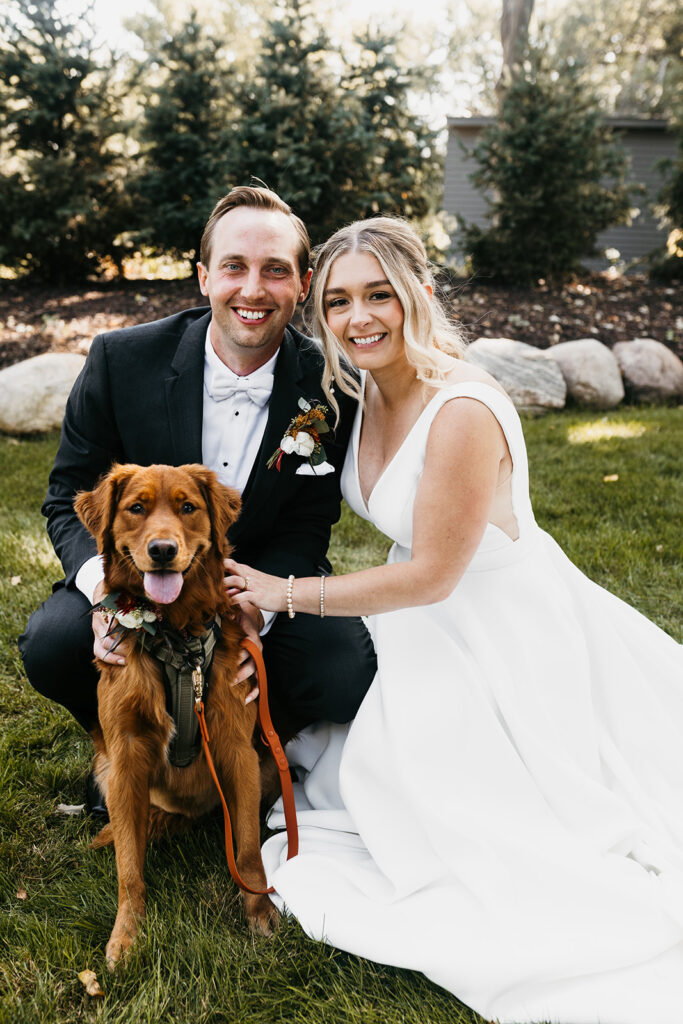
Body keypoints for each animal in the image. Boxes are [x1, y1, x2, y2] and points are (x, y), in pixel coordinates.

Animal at [74, 464, 278, 966]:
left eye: (188, 507)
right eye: (136, 508)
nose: (162, 551)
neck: (175, 634)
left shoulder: (237, 749)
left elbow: (248, 849)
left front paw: (259, 910)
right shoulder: (126, 756)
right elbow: (129, 867)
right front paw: (127, 935)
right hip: (107, 768)